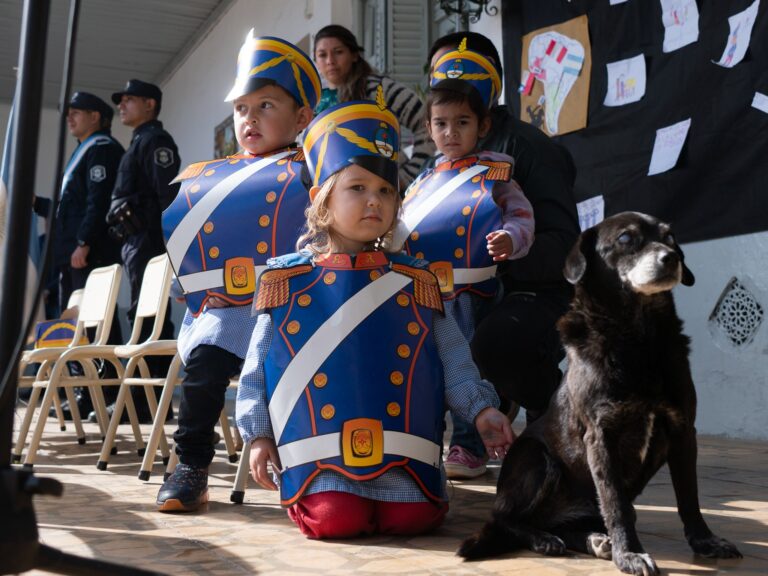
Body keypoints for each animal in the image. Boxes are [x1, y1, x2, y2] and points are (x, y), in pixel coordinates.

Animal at [460, 213, 740, 576]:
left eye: (669, 237)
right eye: (625, 239)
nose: (671, 259)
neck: (639, 340)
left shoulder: (682, 430)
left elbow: (689, 497)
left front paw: (705, 541)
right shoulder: (601, 436)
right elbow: (615, 503)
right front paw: (630, 554)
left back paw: (593, 539)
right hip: (536, 458)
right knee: (505, 520)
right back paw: (544, 539)